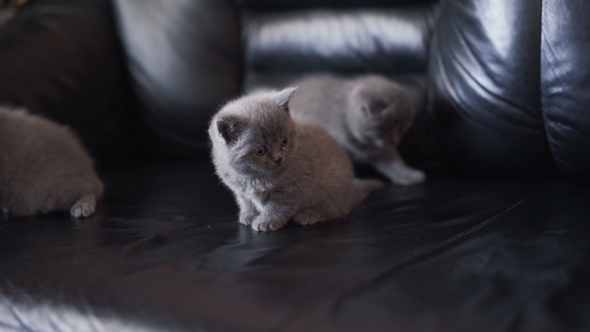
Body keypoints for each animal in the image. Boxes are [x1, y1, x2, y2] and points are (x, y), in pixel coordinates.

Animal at [210, 87, 386, 232]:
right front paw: (248, 215)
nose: (278, 158)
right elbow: (246, 201)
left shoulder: (293, 188)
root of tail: (351, 191)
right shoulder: (240, 190)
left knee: (337, 210)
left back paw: (310, 214)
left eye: (284, 141)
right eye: (260, 151)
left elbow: (277, 206)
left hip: (332, 186)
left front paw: (266, 221)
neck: (253, 177)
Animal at [290, 73, 426, 185]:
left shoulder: (382, 151)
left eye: (403, 129)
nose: (396, 141)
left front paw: (410, 176)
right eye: (388, 129)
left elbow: (395, 164)